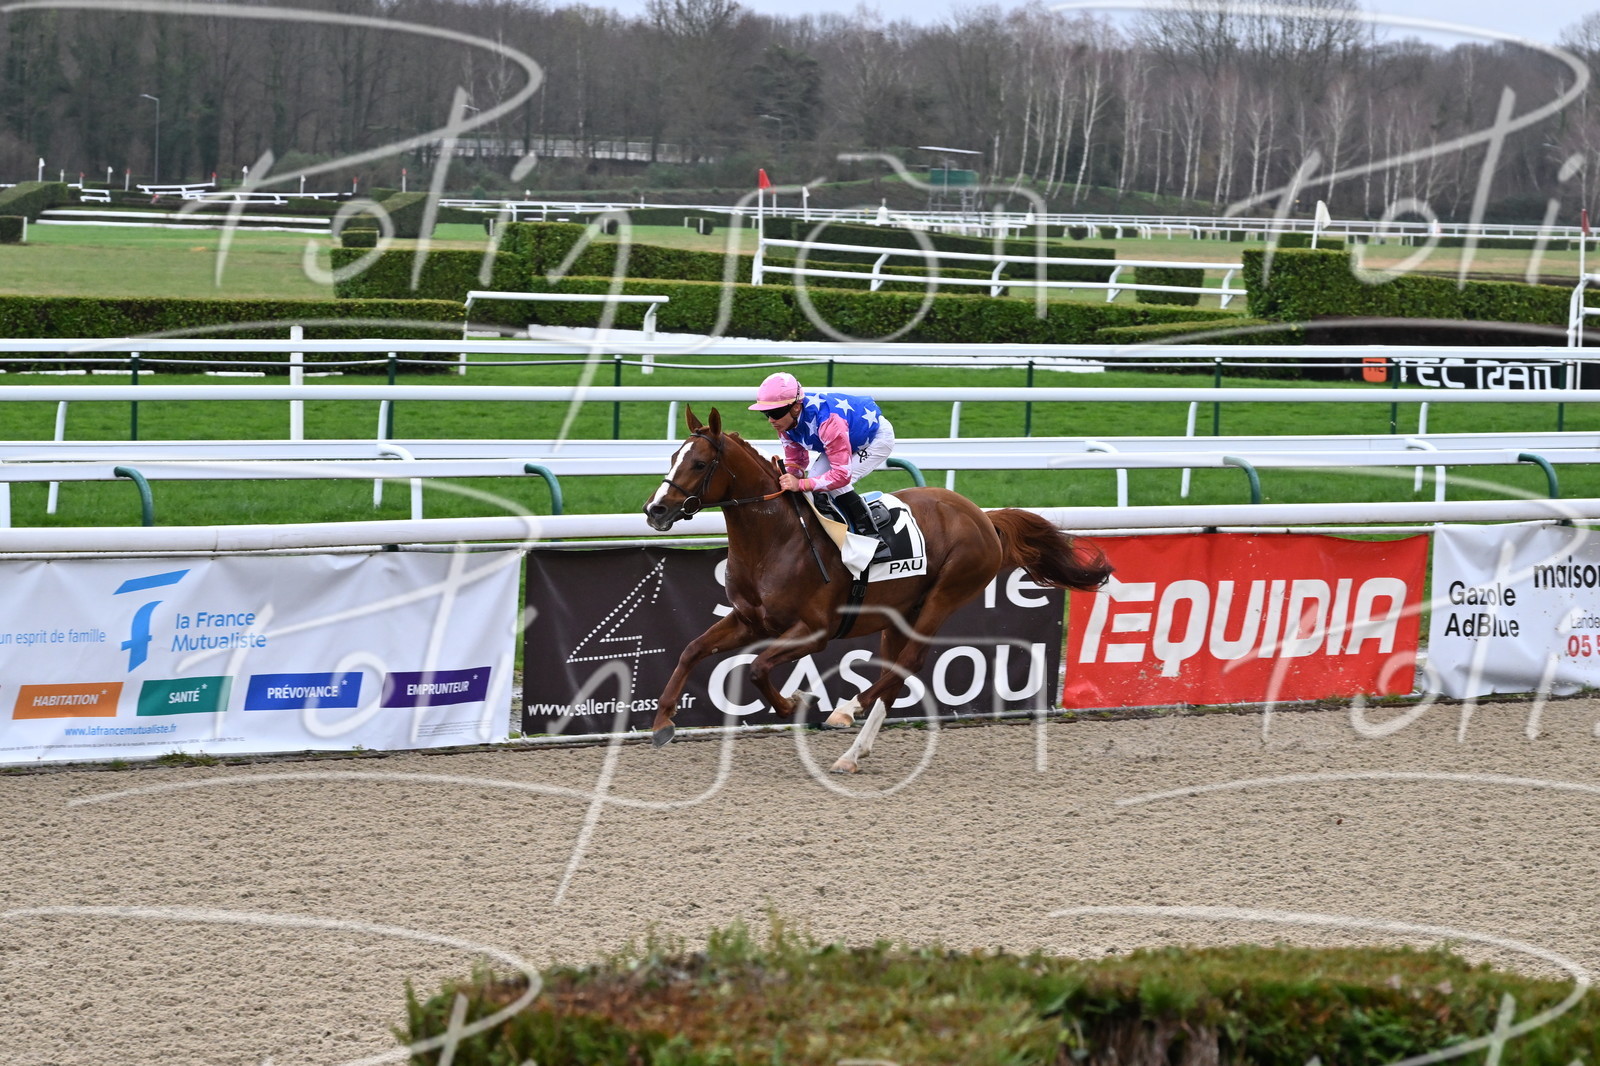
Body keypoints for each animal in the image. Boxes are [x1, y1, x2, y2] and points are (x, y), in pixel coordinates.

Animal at [642, 406, 1113, 773]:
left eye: (699, 464)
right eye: (673, 456)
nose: (655, 510)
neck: (776, 540)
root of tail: (982, 514)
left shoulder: (813, 631)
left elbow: (757, 668)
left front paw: (796, 704)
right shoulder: (749, 620)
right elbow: (691, 651)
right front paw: (662, 722)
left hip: (945, 594)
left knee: (910, 662)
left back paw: (845, 711)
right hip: (898, 614)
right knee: (895, 673)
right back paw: (852, 754)